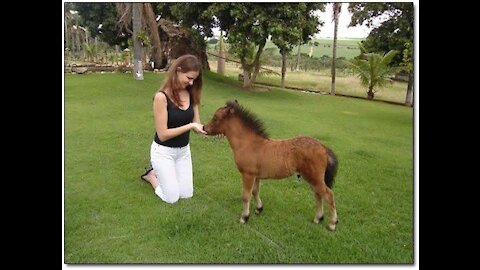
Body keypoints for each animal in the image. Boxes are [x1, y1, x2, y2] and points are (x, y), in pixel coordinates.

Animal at [204, 100, 340, 231]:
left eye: (216, 118)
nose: (204, 128)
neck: (248, 144)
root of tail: (323, 147)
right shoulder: (256, 176)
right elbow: (255, 191)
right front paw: (259, 209)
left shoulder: (248, 175)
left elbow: (246, 195)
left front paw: (244, 217)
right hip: (313, 179)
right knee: (318, 195)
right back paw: (318, 218)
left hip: (314, 178)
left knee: (328, 195)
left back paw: (332, 224)